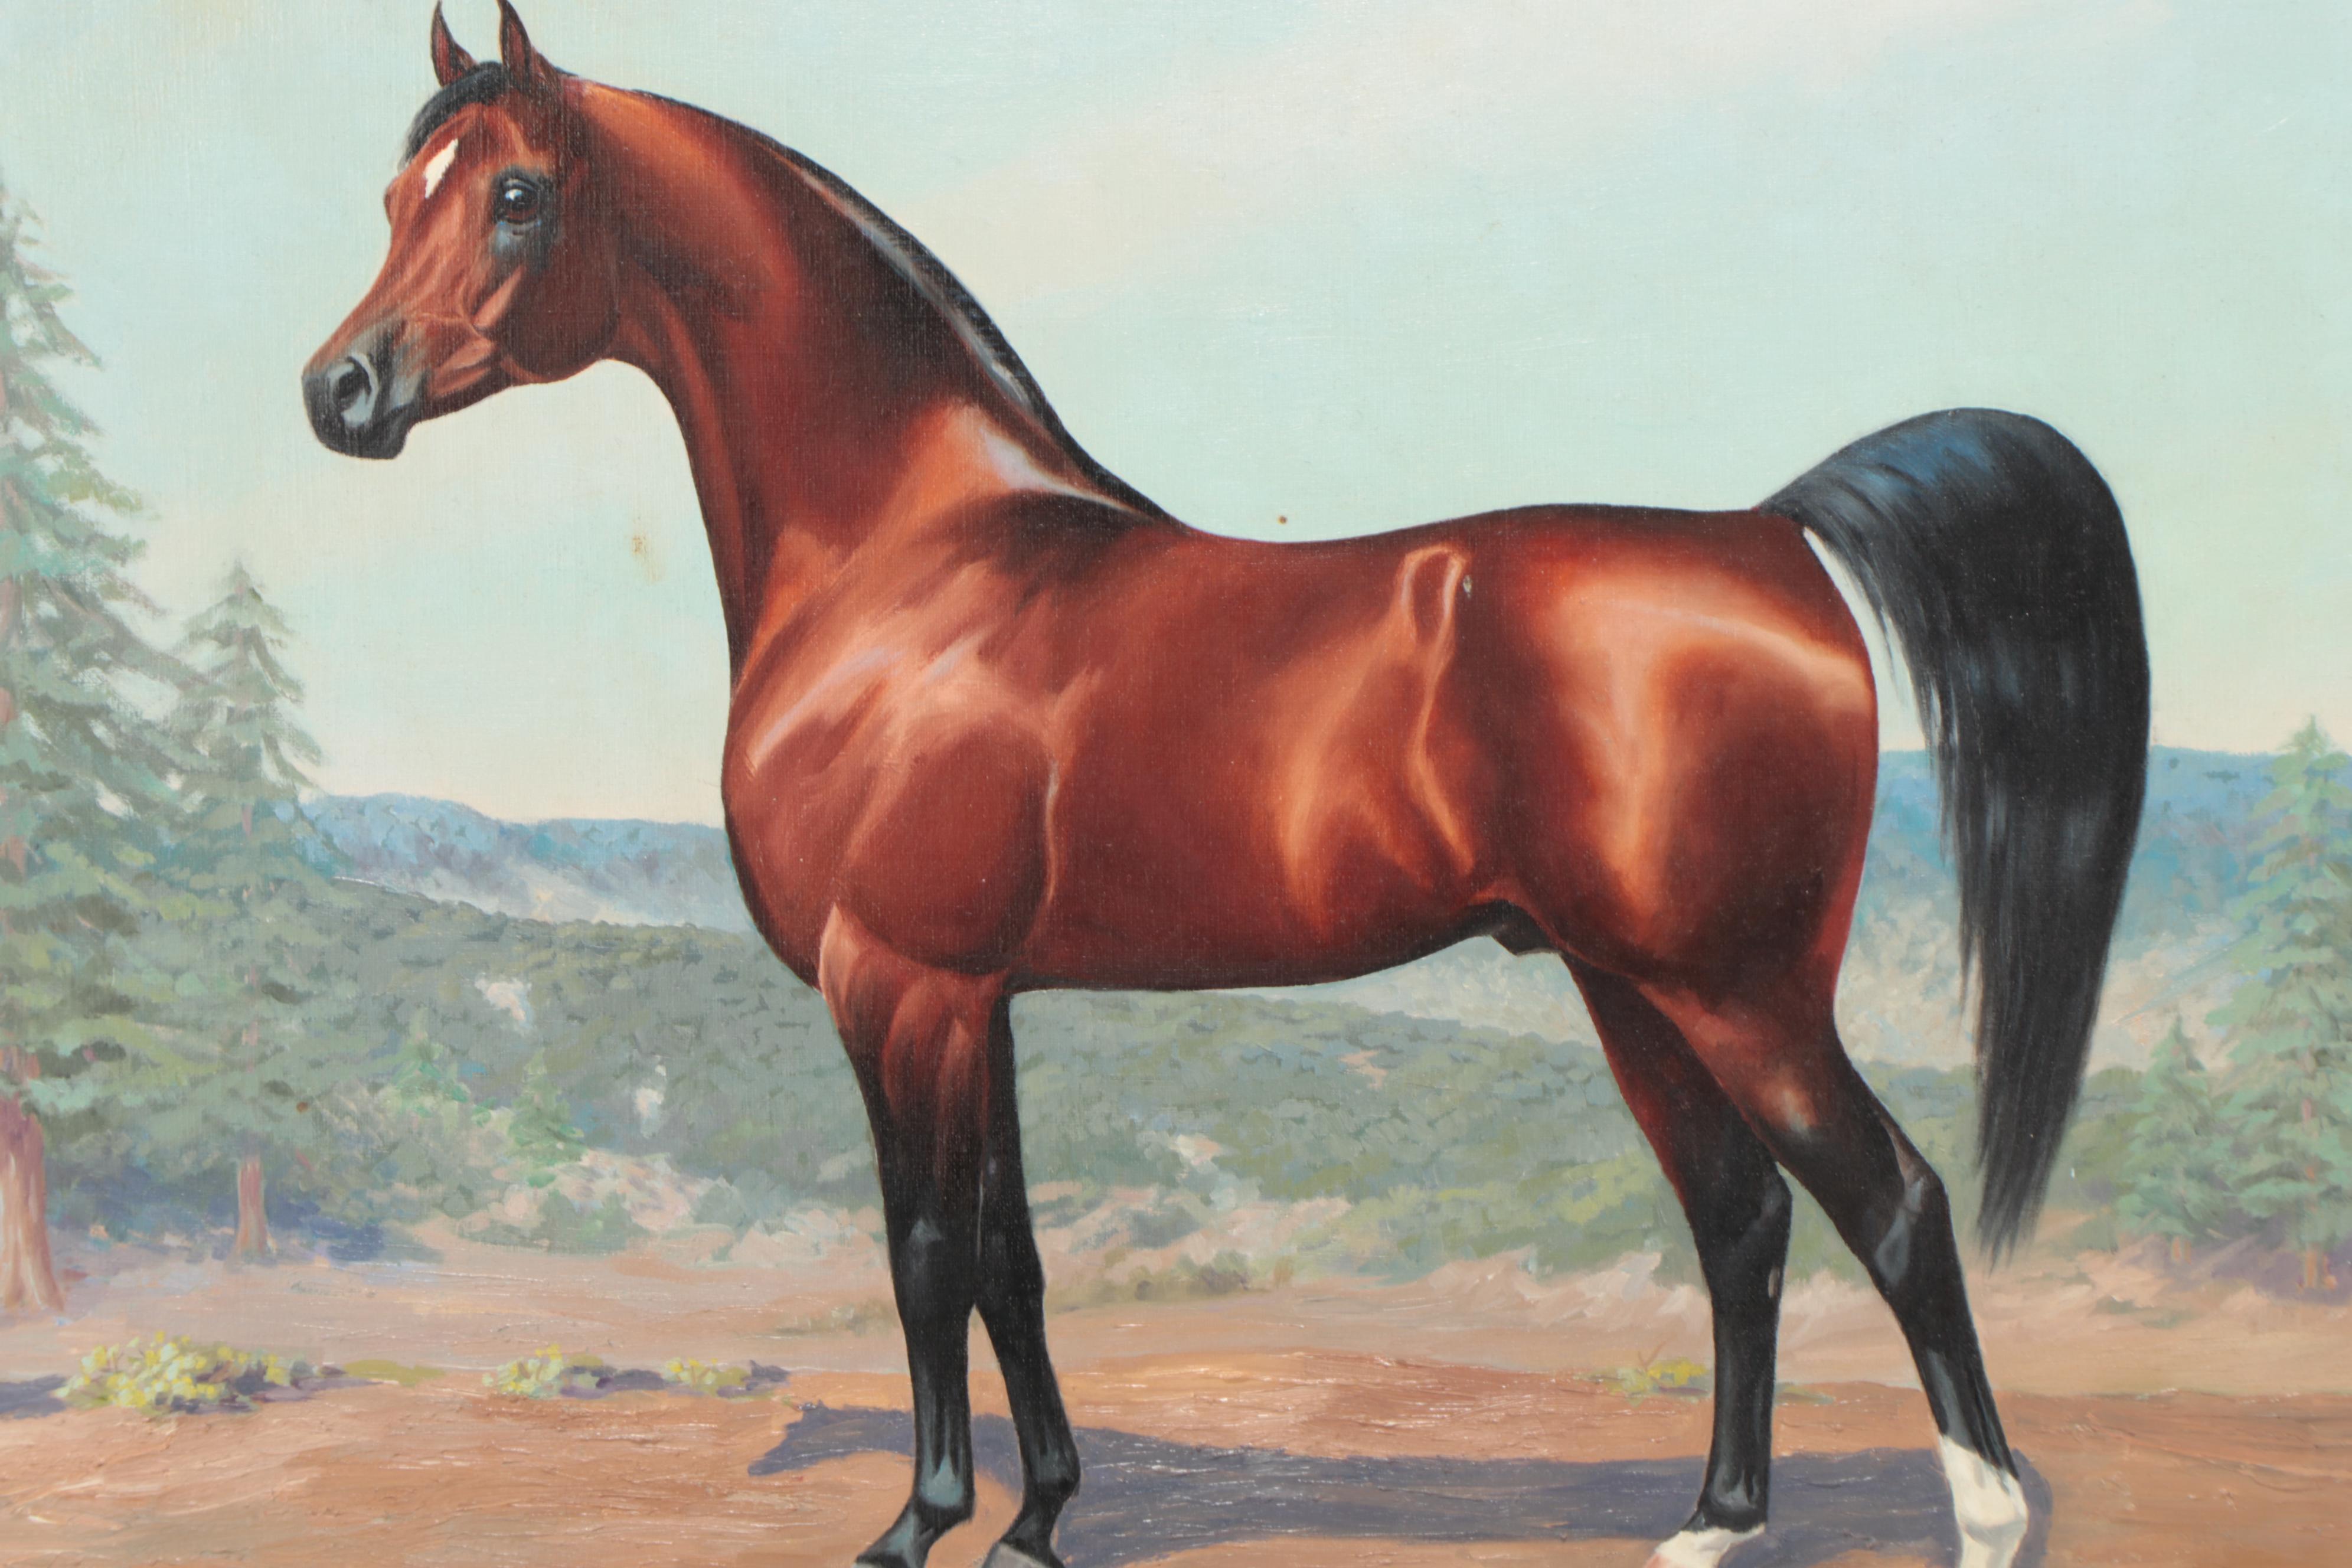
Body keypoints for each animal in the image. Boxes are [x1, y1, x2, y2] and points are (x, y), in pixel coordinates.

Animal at [303, 9, 2148, 1567]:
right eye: (399, 192)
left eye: (520, 196)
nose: (341, 391)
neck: (913, 562)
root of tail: (1770, 535)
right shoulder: (986, 1000)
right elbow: (1015, 1261)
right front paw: (1041, 1520)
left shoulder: (898, 987)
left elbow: (924, 1254)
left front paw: (920, 1525)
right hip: (1634, 990)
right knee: (1742, 1221)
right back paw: (1713, 1523)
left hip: (1740, 991)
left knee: (1893, 1209)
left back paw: (1986, 1518)